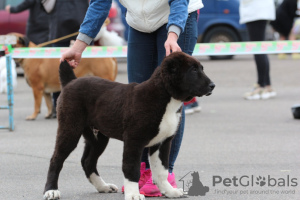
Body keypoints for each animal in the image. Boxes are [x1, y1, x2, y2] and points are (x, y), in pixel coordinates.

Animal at [43, 52, 214, 200]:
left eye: (201, 68)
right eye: (193, 70)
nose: (212, 85)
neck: (165, 96)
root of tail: (71, 81)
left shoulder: (162, 143)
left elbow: (161, 170)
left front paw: (169, 191)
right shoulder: (134, 141)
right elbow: (132, 168)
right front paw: (133, 194)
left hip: (98, 138)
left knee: (87, 161)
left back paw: (103, 186)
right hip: (70, 129)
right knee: (56, 159)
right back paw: (51, 190)